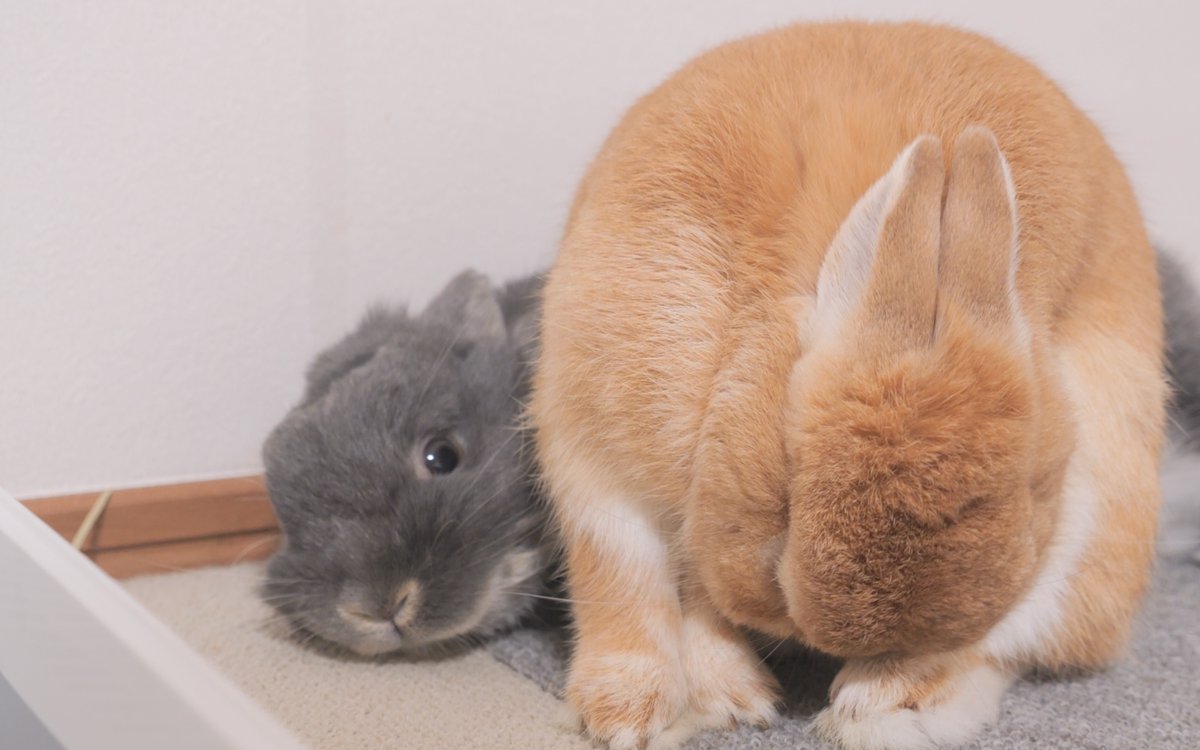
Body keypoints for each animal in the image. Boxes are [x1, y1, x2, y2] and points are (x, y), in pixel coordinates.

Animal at [530, 21, 1166, 750]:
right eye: (783, 491)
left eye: (1036, 481)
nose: (808, 632)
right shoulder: (596, 456)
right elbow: (632, 582)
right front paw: (646, 715)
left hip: (1103, 517)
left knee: (1012, 643)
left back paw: (875, 707)